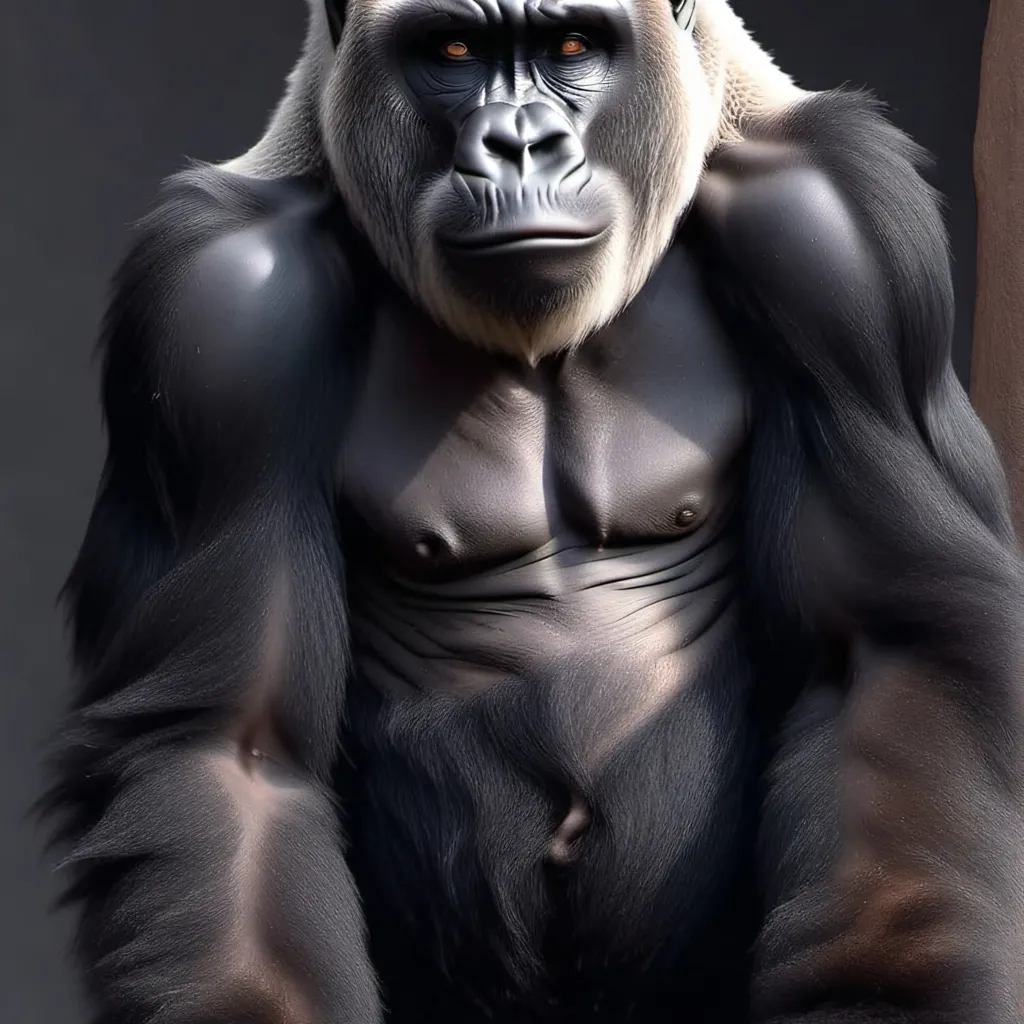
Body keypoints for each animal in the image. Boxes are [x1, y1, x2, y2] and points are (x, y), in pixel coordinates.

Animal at [39, 0, 1024, 1021]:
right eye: (454, 51)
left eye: (572, 47)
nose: (518, 144)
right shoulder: (215, 303)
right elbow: (227, 748)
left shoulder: (838, 235)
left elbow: (884, 654)